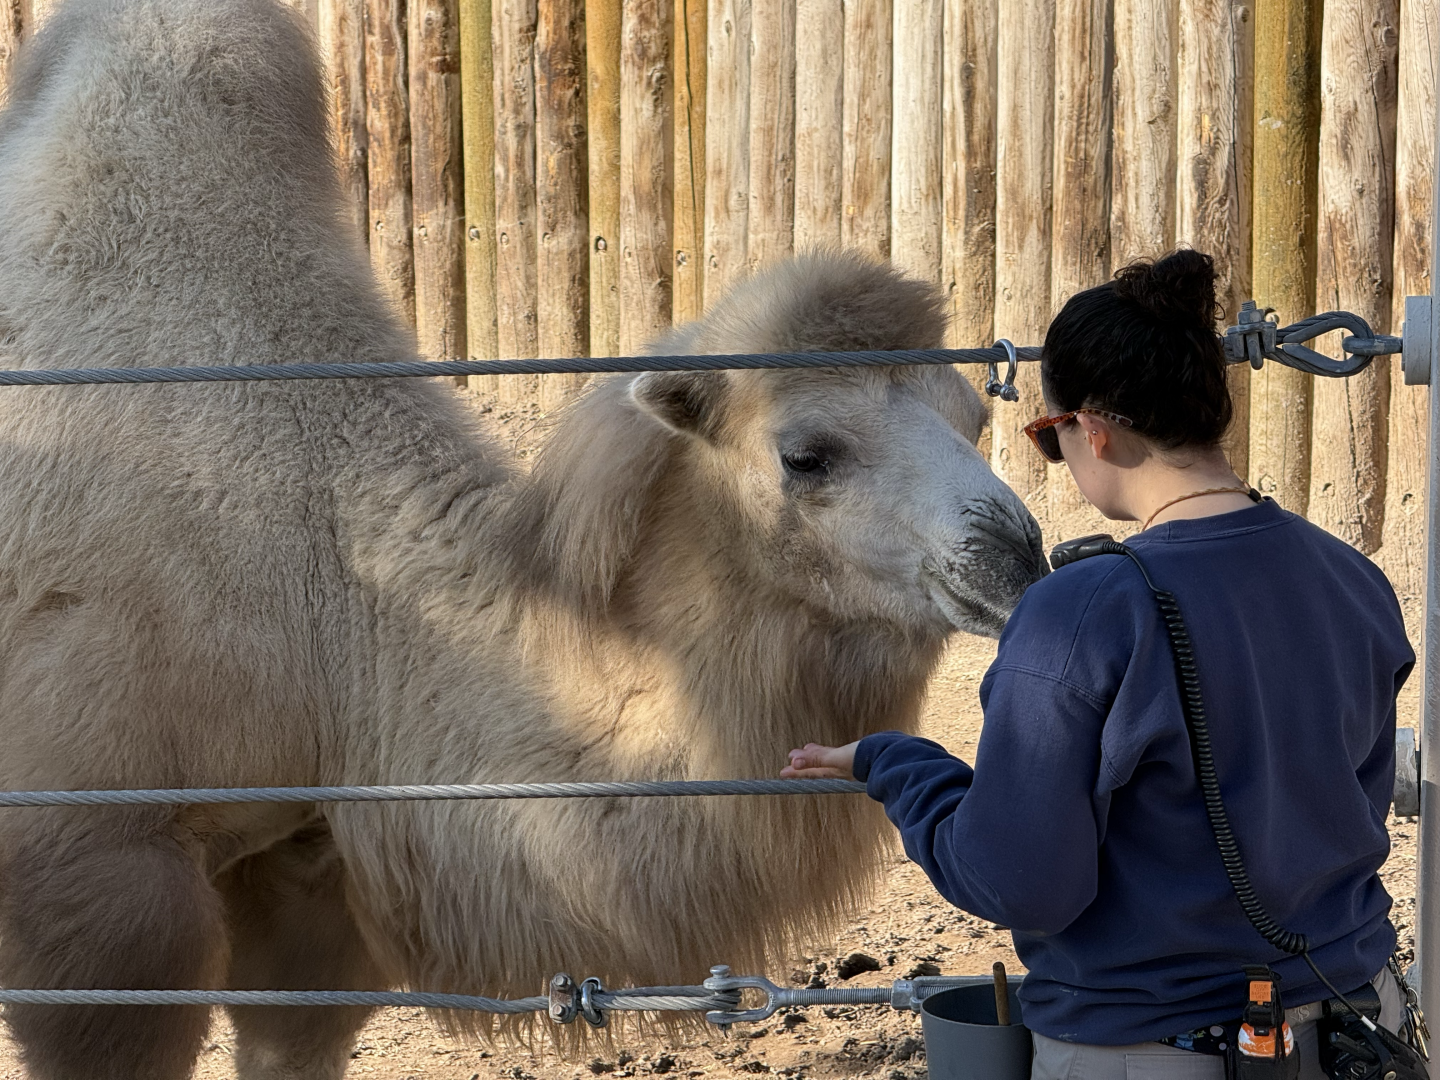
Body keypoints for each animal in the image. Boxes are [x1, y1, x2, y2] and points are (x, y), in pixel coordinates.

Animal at [0, 1, 1046, 1077]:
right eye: (807, 454)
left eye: (974, 415)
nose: (1016, 557)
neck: (336, 598)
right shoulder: (95, 862)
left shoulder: (311, 854)